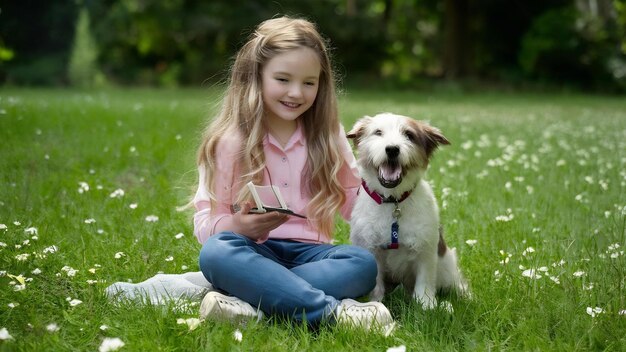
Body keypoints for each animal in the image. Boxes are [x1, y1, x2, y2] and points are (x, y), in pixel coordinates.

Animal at [346, 113, 468, 308]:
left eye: (409, 135)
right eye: (378, 132)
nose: (392, 149)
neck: (392, 202)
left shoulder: (425, 250)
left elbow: (424, 282)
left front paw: (427, 305)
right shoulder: (371, 248)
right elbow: (376, 283)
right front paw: (375, 302)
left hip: (447, 268)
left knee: (456, 283)